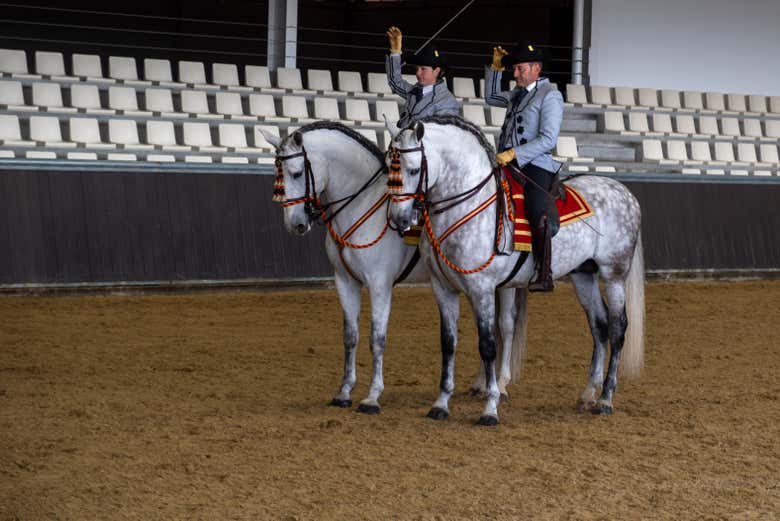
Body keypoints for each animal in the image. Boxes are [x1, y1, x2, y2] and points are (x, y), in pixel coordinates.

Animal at [260, 121, 524, 414]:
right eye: (277, 175)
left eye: (296, 173)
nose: (296, 224)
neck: (360, 205)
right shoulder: (345, 281)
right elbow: (350, 336)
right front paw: (344, 392)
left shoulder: (379, 284)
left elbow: (377, 338)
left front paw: (372, 397)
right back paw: (480, 385)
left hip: (500, 284)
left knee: (505, 326)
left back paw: (501, 385)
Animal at [386, 115, 645, 426]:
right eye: (389, 166)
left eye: (414, 169)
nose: (399, 219)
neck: (466, 207)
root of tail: (624, 191)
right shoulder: (443, 288)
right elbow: (448, 343)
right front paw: (441, 404)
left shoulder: (482, 288)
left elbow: (488, 345)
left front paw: (490, 408)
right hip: (584, 275)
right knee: (600, 325)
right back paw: (587, 394)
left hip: (614, 274)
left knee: (618, 328)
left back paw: (606, 399)